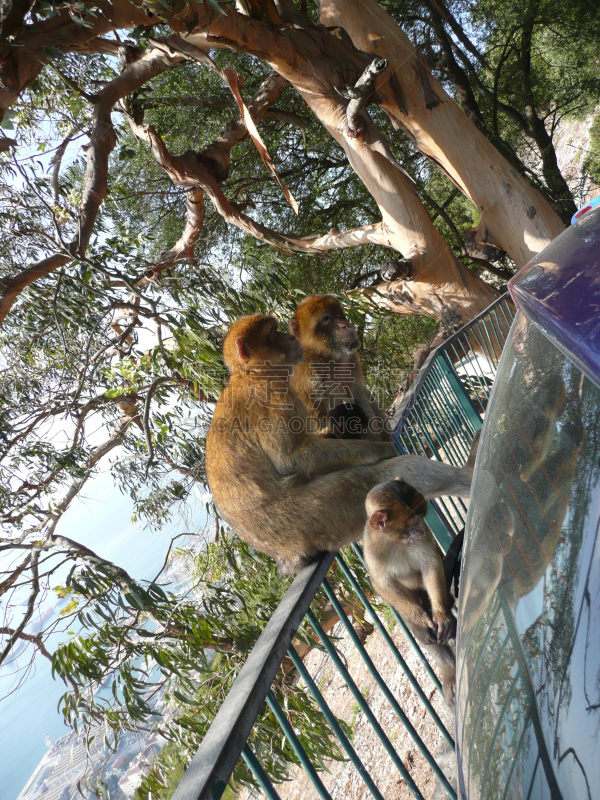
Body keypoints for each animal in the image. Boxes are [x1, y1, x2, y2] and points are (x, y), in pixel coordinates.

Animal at [206, 314, 474, 576]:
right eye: (273, 332)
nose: (289, 337)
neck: (250, 373)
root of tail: (285, 554)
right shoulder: (270, 395)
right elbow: (292, 458)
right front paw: (380, 449)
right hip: (316, 513)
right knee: (383, 477)